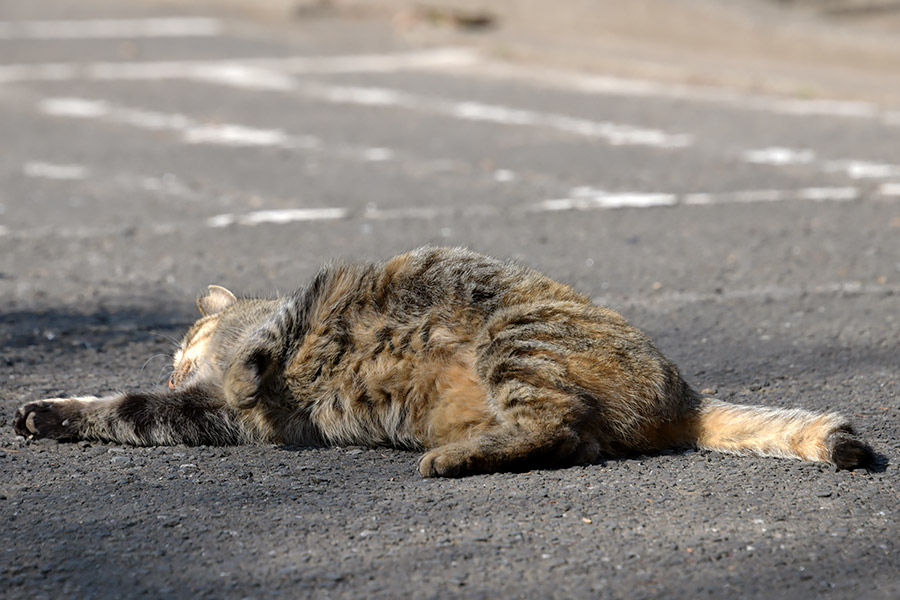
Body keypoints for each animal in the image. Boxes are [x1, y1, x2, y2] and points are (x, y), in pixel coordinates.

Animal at [12, 246, 872, 476]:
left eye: (178, 351)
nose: (173, 370)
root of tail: (682, 394)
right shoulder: (213, 415)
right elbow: (131, 410)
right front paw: (50, 413)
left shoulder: (238, 376)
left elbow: (133, 404)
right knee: (576, 438)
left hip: (516, 338)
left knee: (558, 425)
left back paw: (455, 457)